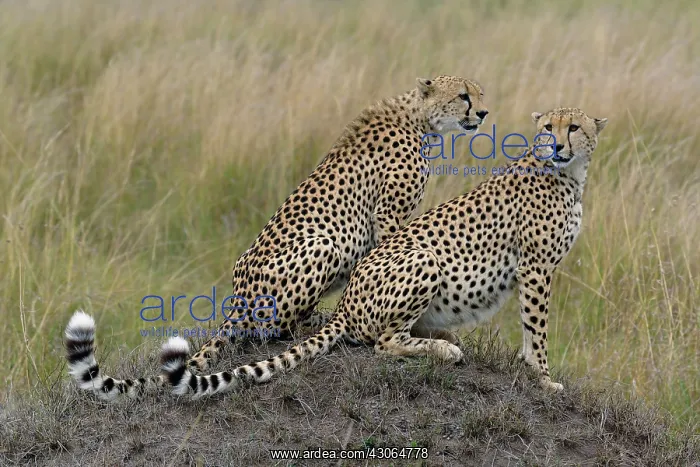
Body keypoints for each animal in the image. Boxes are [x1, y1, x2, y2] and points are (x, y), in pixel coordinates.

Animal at [64, 75, 489, 400]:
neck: (416, 119)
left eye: (478, 93)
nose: (483, 112)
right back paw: (315, 322)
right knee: (279, 330)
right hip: (323, 245)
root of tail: (238, 297)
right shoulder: (388, 215)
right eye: (463, 95)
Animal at [156, 107, 608, 399]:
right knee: (382, 343)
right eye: (548, 126)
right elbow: (538, 327)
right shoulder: (536, 268)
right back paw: (445, 349)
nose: (556, 146)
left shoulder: (535, 270)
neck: (568, 176)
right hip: (423, 259)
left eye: (575, 127)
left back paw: (441, 335)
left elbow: (531, 328)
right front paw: (543, 378)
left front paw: (534, 371)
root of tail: (344, 304)